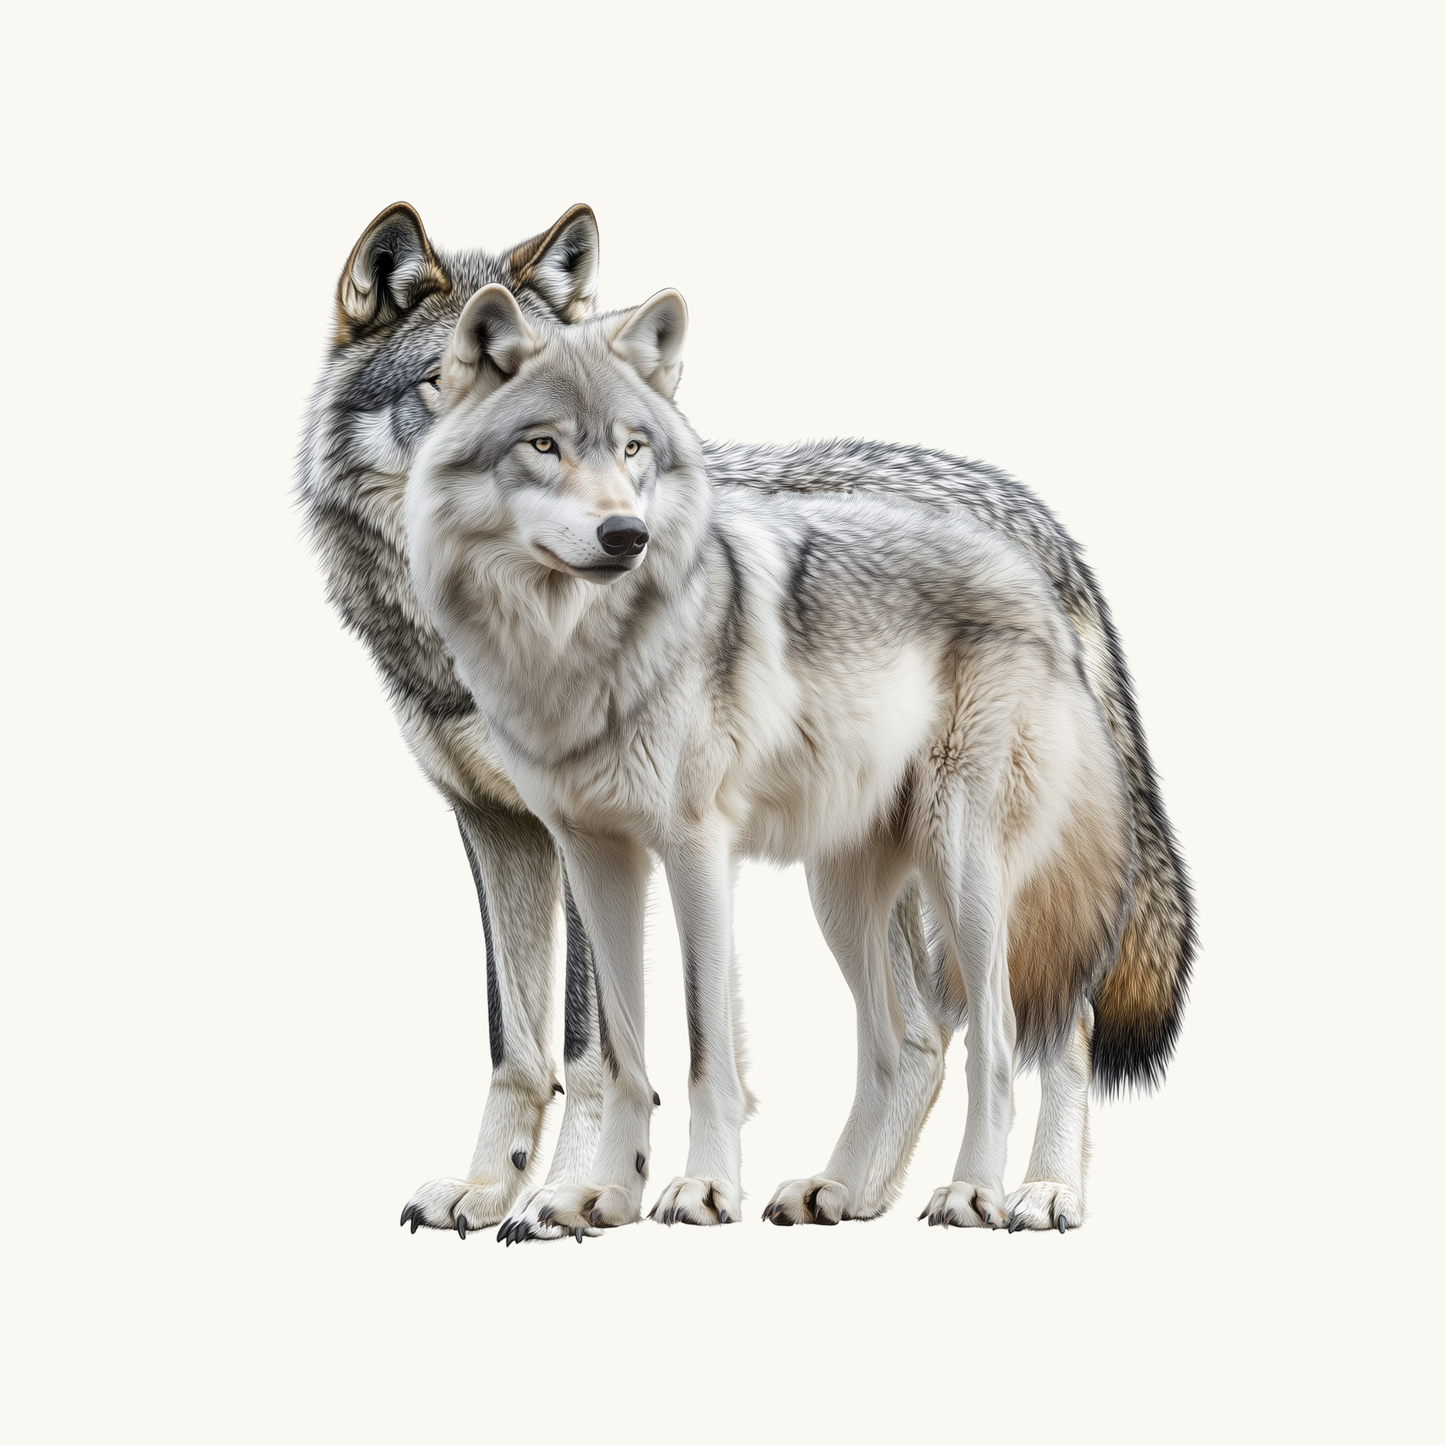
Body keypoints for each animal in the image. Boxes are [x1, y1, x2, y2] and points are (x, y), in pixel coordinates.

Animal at [300, 204, 1192, 1238]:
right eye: (438, 383)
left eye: (621, 442)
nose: (622, 533)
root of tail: (1034, 520)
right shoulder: (503, 826)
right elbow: (519, 1041)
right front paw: (491, 1186)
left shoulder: (640, 840)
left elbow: (600, 1046)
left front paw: (564, 1191)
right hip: (848, 872)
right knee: (920, 1032)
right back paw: (849, 1192)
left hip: (970, 859)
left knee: (1046, 1017)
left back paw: (1036, 1189)